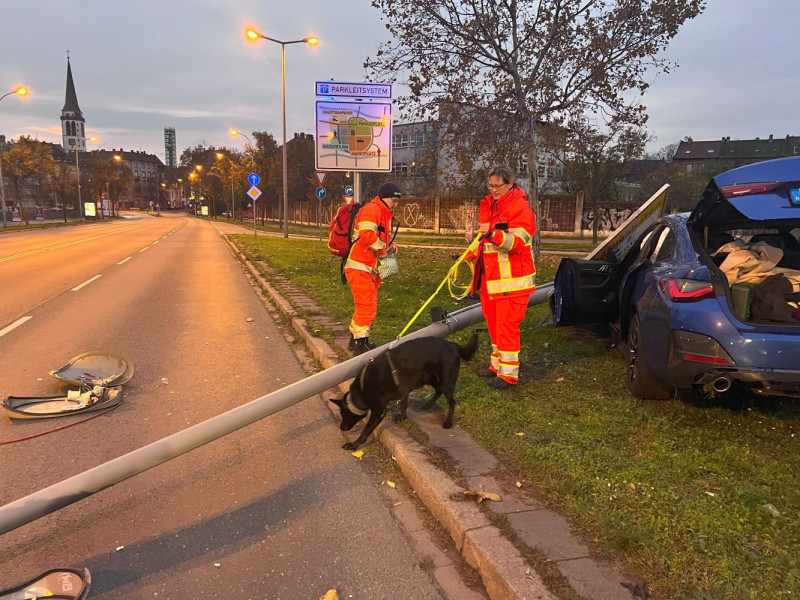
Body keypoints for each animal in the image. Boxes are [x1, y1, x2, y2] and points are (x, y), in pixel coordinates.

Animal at [330, 332, 478, 450]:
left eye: (345, 414)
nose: (341, 428)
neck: (361, 390)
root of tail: (453, 345)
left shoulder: (379, 411)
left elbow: (366, 430)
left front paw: (354, 445)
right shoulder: (403, 388)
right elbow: (403, 403)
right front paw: (403, 417)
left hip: (446, 380)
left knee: (452, 401)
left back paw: (448, 422)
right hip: (427, 377)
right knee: (438, 389)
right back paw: (428, 404)